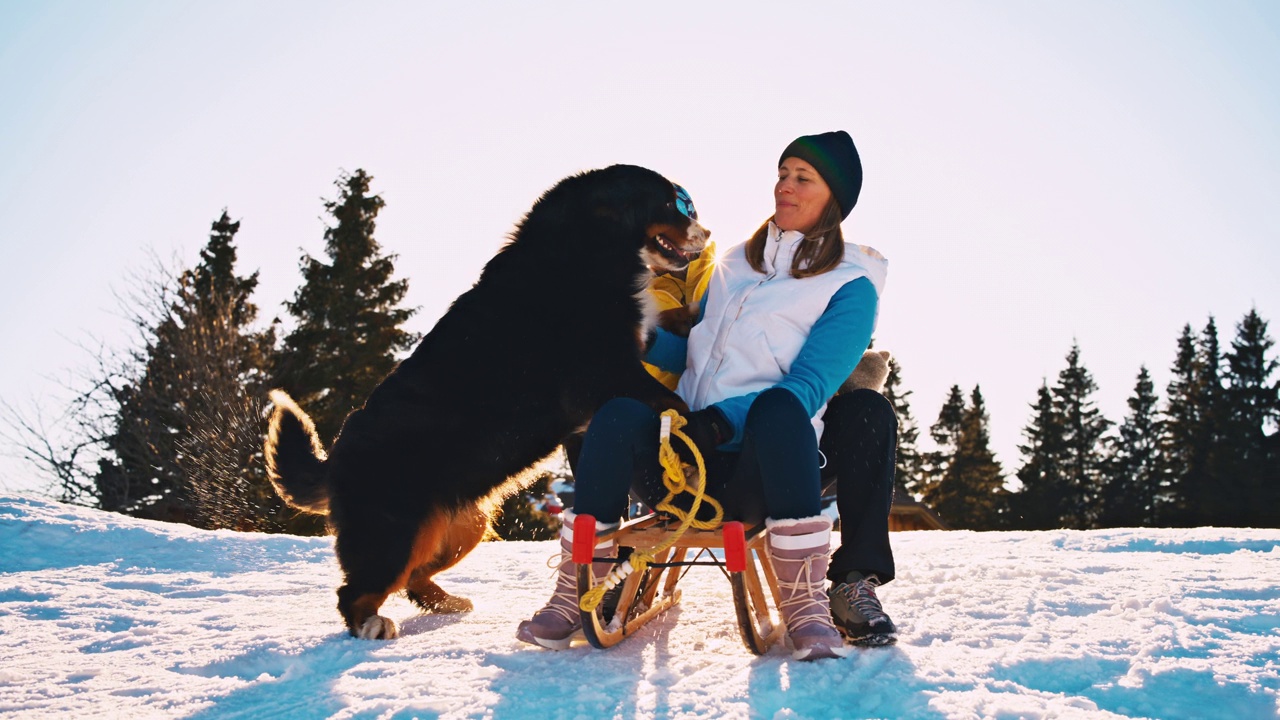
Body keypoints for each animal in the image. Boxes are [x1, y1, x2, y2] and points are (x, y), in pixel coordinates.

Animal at [263, 165, 706, 635]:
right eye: (670, 204)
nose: (707, 231)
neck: (583, 252)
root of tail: (335, 458)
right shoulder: (603, 374)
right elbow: (669, 400)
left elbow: (664, 325)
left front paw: (692, 312)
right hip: (395, 533)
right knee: (358, 590)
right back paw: (372, 625)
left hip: (465, 525)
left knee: (413, 577)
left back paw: (448, 602)